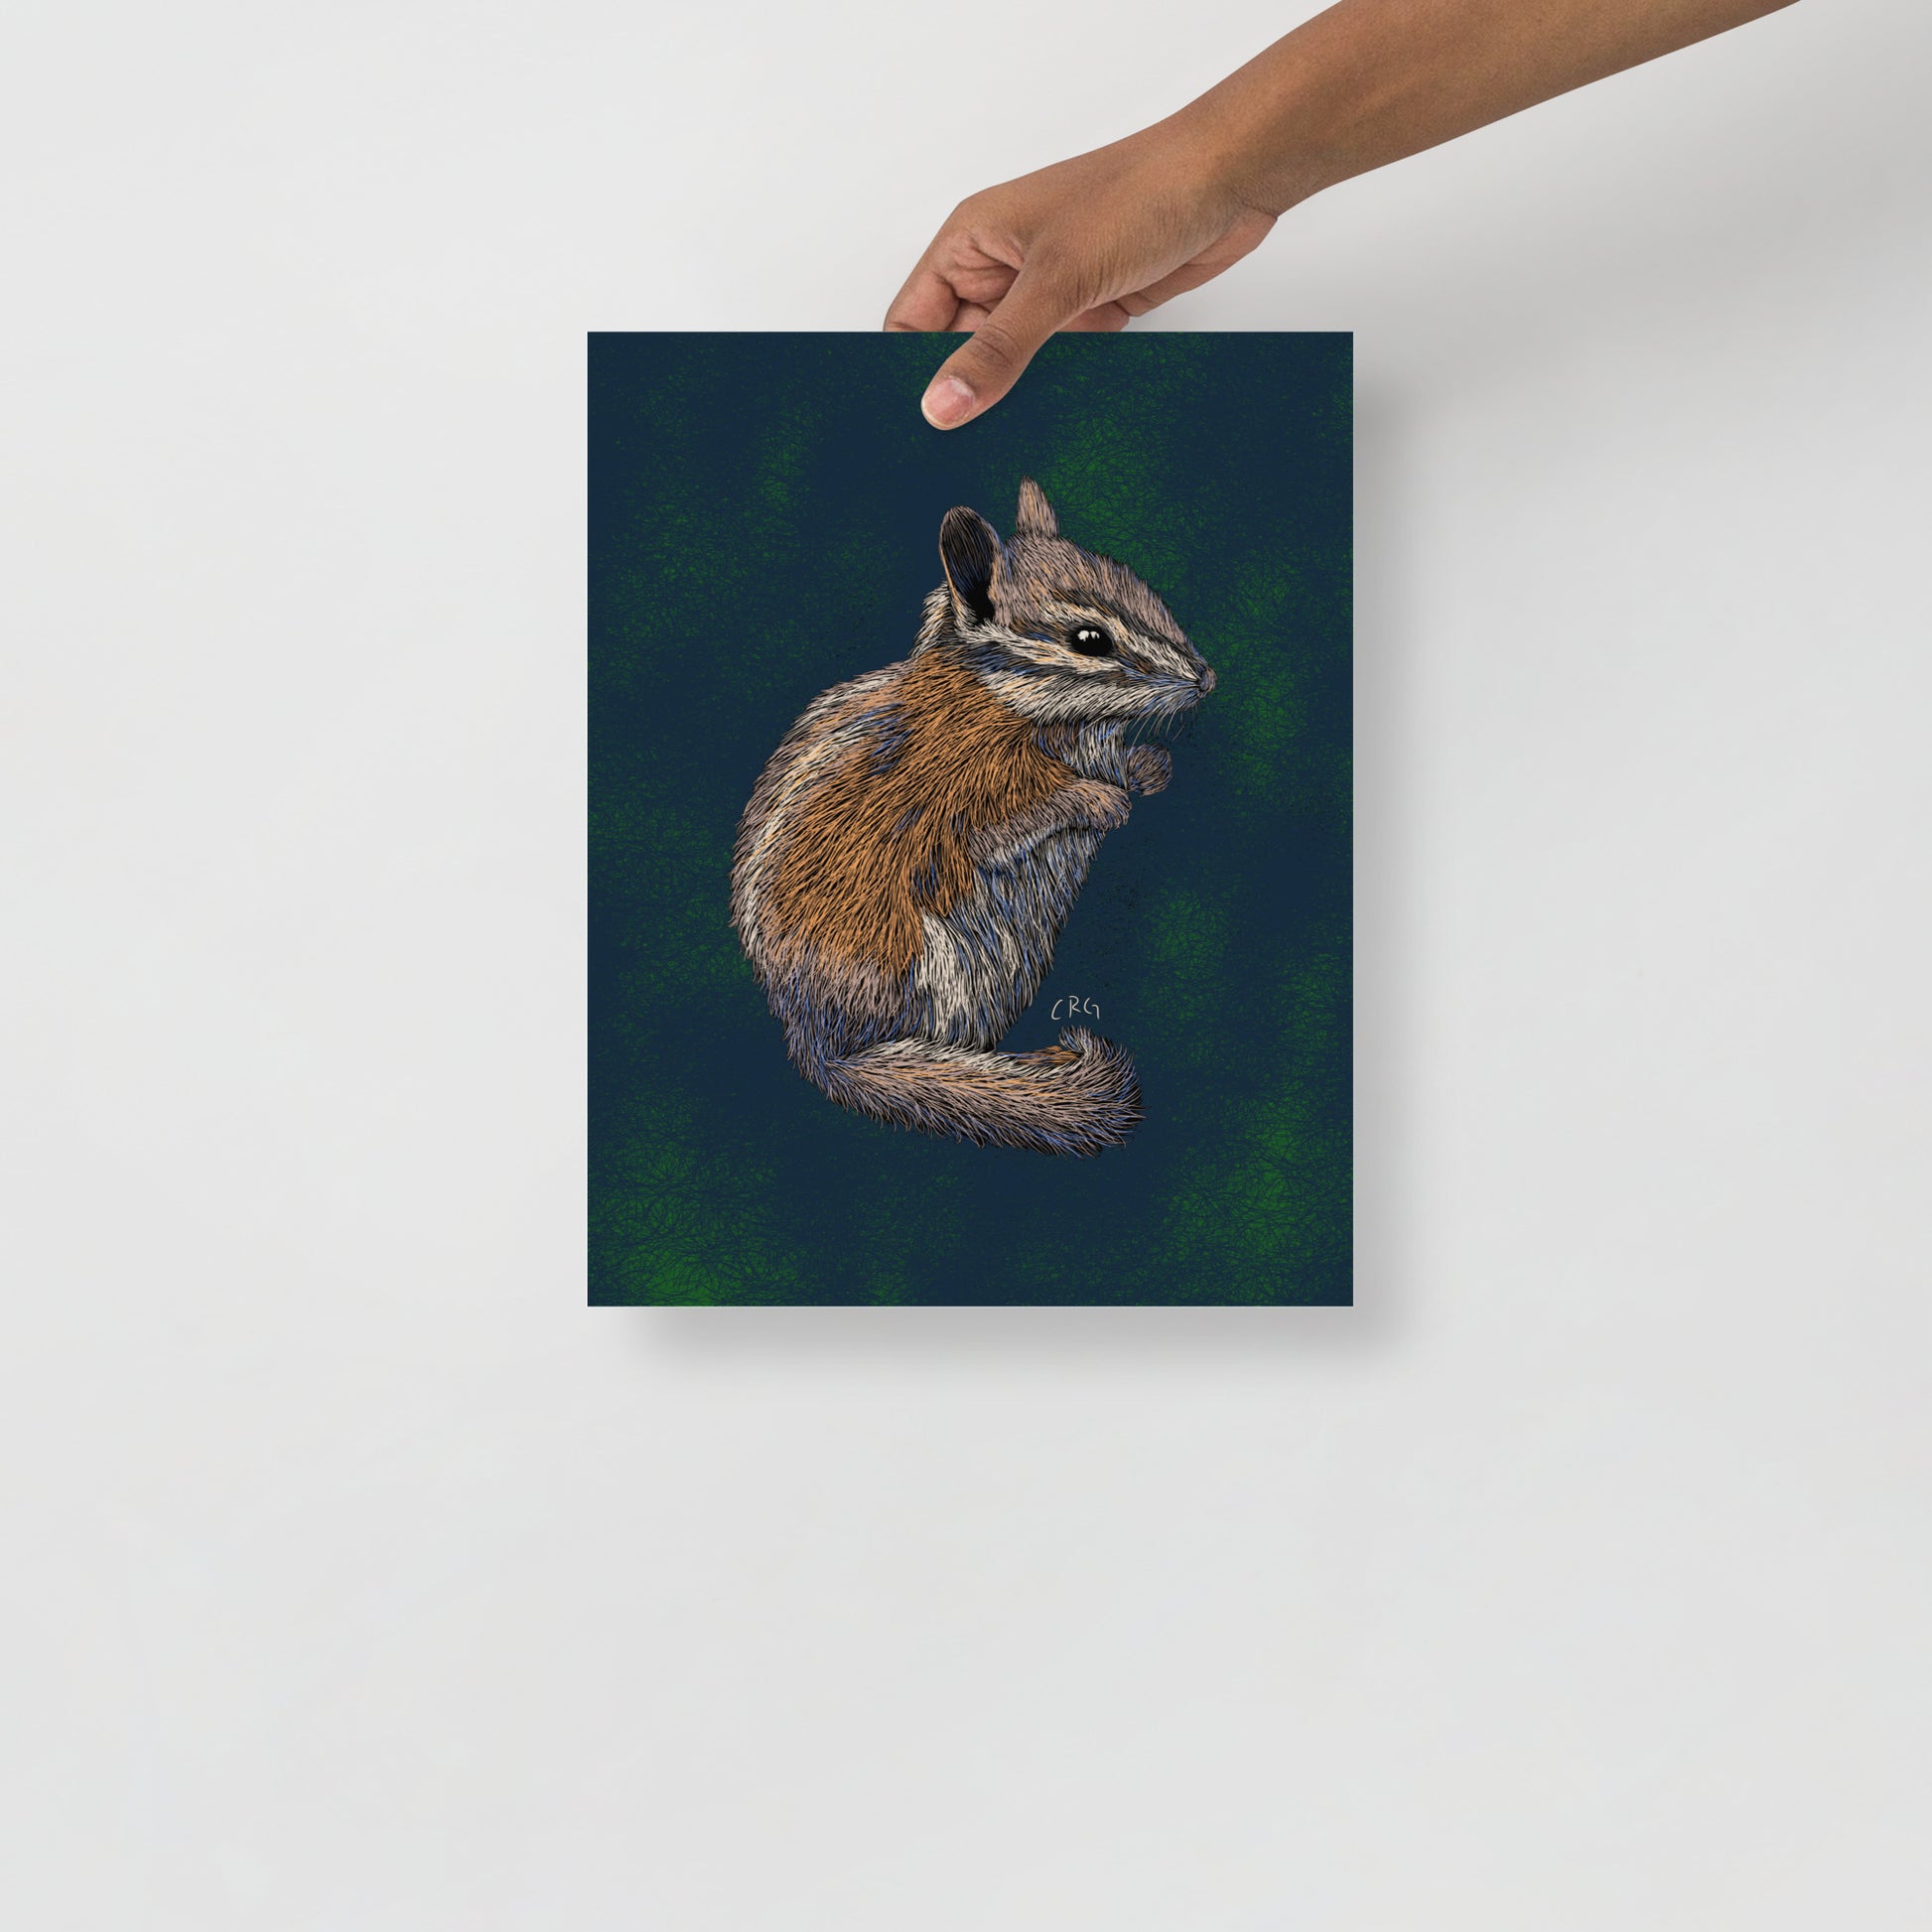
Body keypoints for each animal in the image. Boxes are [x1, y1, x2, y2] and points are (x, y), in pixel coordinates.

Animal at [730, 478, 1216, 1157]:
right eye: (1089, 639)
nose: (1207, 679)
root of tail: (822, 1045)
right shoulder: (967, 801)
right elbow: (1011, 825)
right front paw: (1102, 800)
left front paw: (1148, 768)